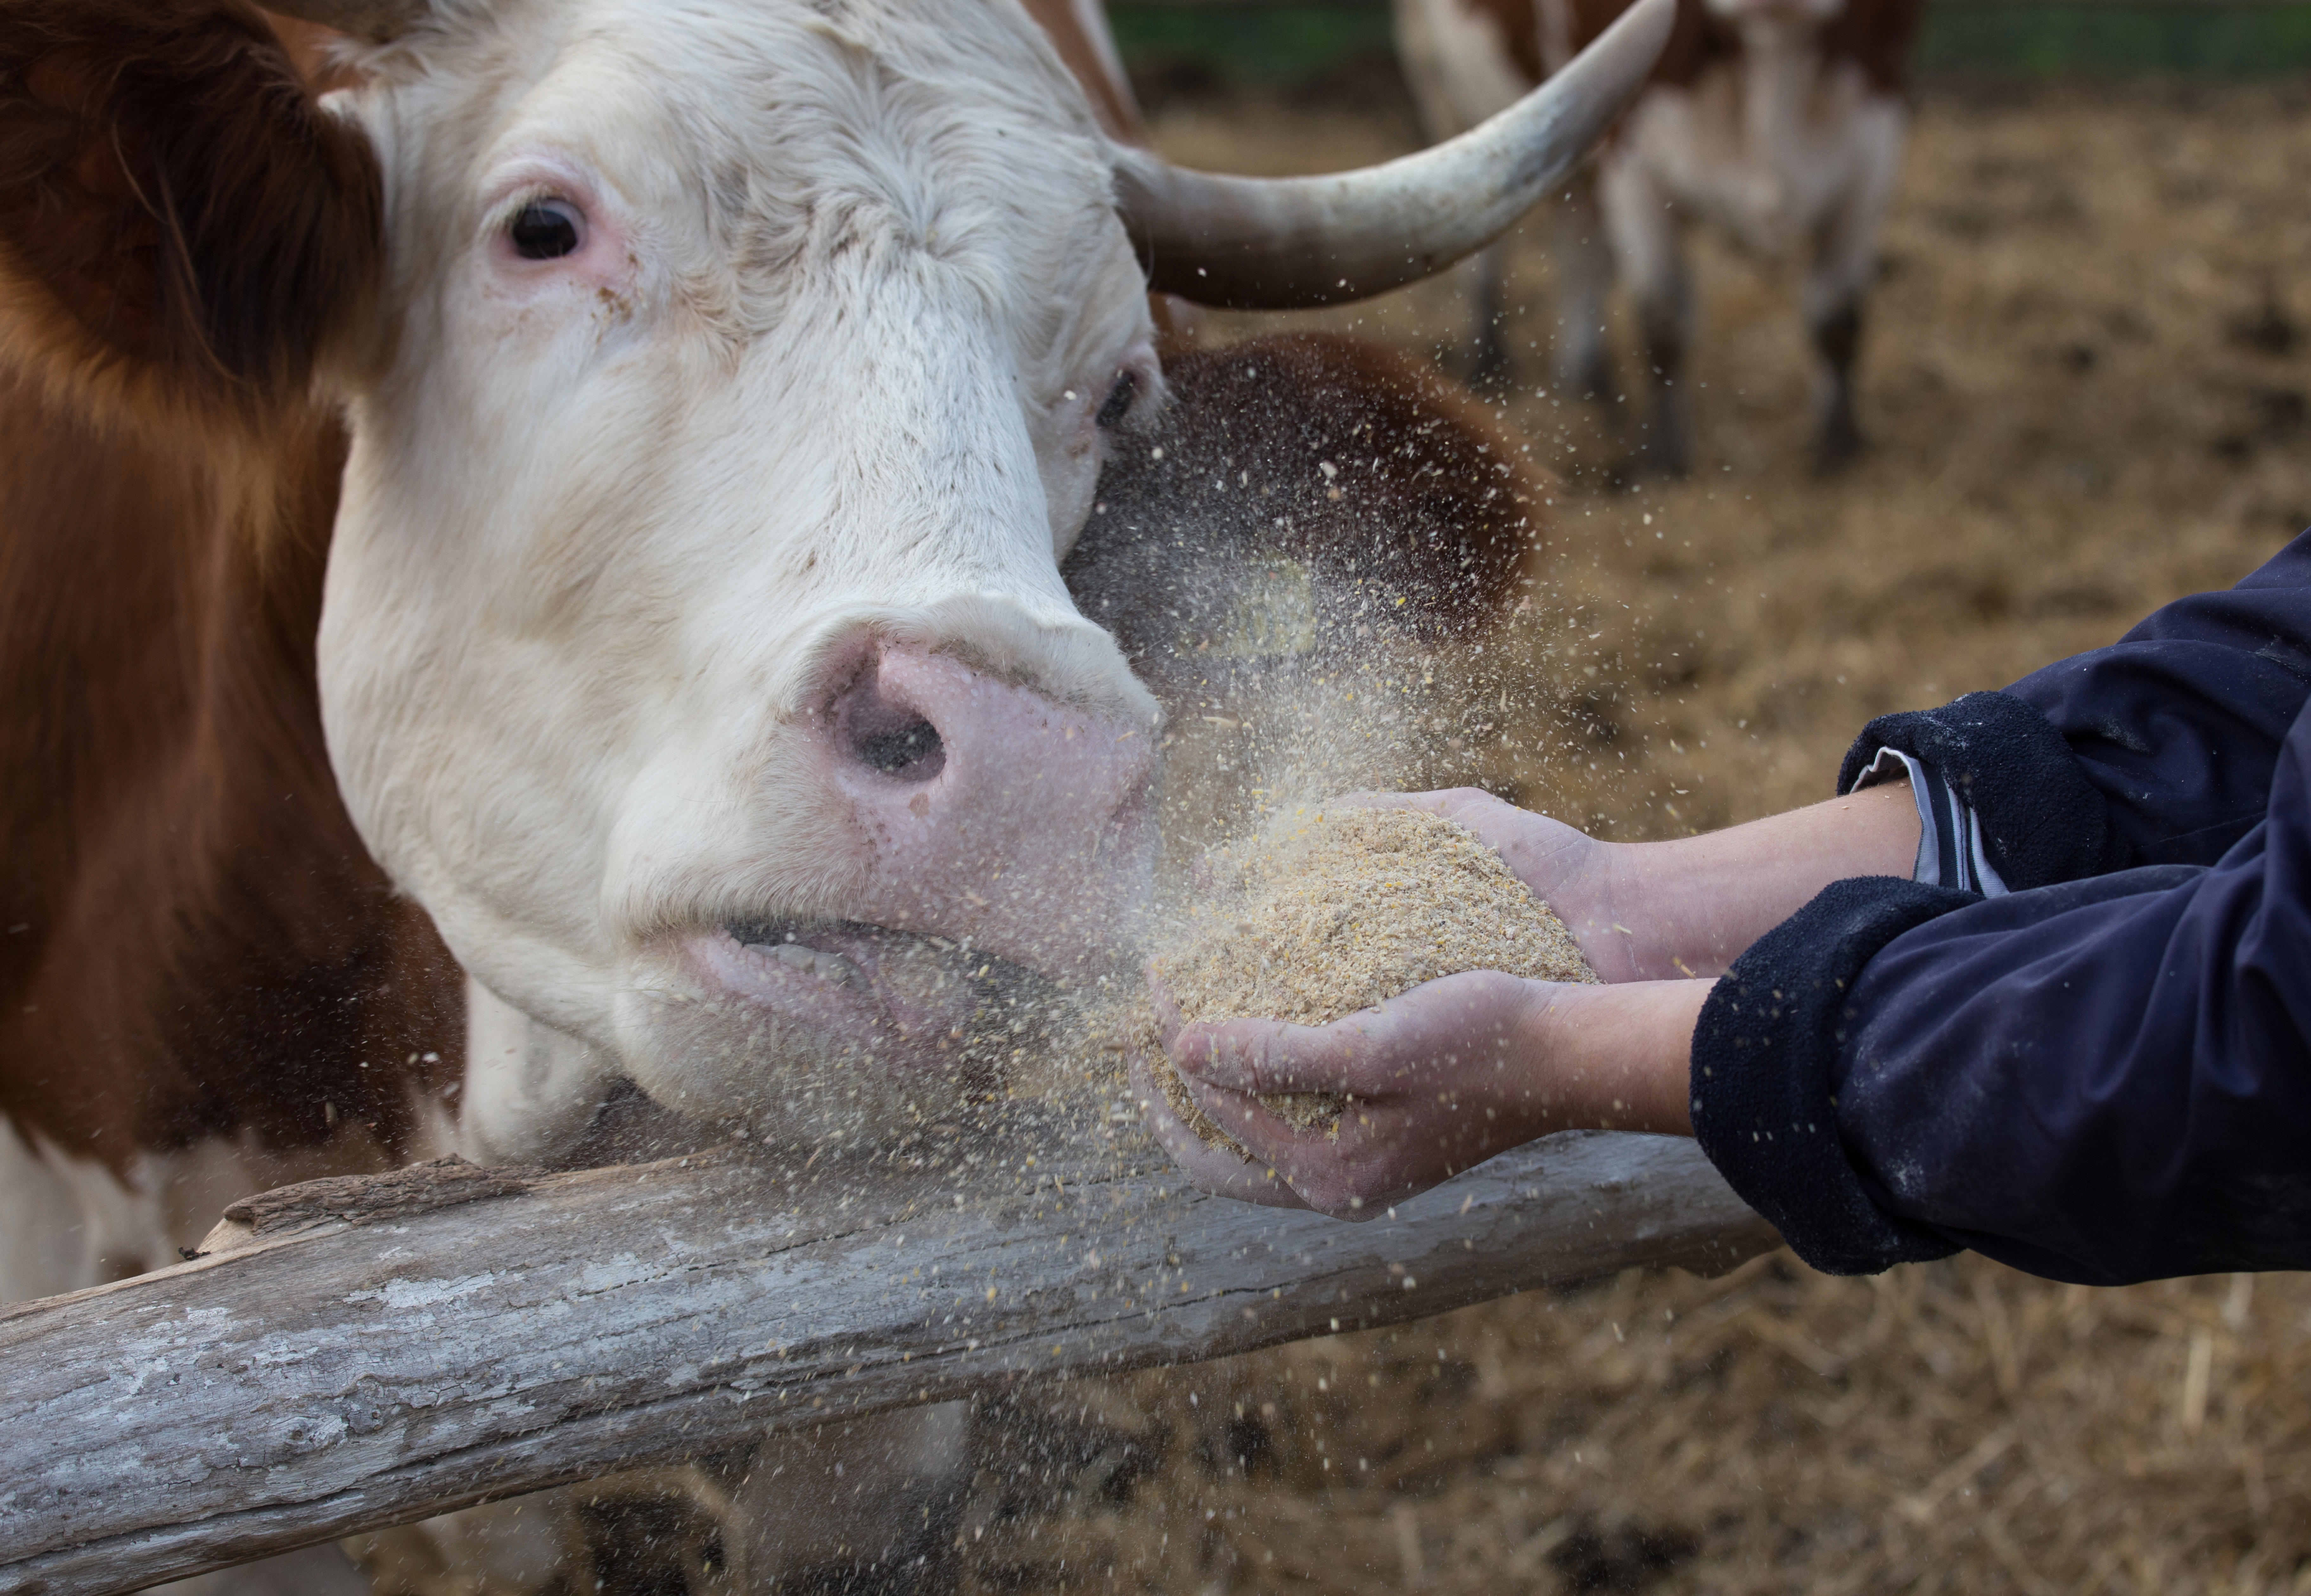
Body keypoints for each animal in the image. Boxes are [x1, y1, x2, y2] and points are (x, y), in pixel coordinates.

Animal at [1394, 0, 1924, 472]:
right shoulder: (1633, 157)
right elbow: (1663, 320)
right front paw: (1665, 458)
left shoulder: (1875, 142)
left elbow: (1838, 319)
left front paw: (1839, 447)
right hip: (1436, 78)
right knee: (1476, 229)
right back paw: (1489, 360)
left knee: (1579, 243)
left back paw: (1587, 384)